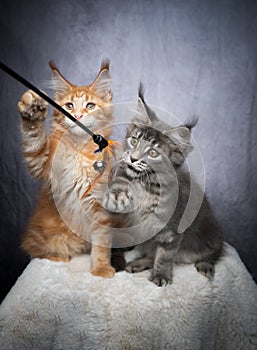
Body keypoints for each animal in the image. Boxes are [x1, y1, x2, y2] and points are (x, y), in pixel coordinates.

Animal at [18, 60, 116, 278]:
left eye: (90, 106)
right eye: (69, 106)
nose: (77, 115)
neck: (79, 150)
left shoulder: (100, 206)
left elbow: (102, 243)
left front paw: (101, 268)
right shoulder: (42, 163)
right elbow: (34, 141)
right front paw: (32, 111)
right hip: (48, 236)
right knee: (33, 249)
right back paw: (57, 257)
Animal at [103, 86, 222, 286]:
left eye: (152, 152)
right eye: (134, 141)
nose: (133, 158)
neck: (145, 185)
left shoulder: (172, 229)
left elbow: (165, 255)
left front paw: (161, 276)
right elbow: (121, 180)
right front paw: (117, 194)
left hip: (210, 236)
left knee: (213, 253)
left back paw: (205, 265)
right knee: (151, 253)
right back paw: (137, 264)